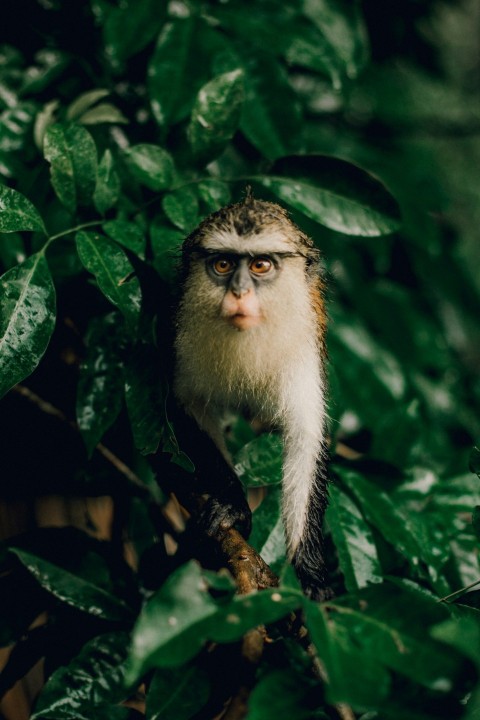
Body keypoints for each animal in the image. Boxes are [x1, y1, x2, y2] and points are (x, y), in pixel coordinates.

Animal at [172, 192, 330, 600]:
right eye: (223, 264)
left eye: (260, 265)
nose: (239, 292)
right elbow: (185, 403)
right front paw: (234, 505)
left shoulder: (302, 349)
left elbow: (306, 435)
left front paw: (311, 574)